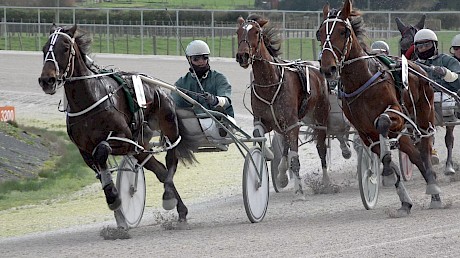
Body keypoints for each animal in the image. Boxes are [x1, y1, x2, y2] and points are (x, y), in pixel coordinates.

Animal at [37, 24, 198, 226]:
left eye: (65, 48)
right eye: (44, 49)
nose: (47, 80)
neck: (90, 99)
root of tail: (161, 89)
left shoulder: (125, 140)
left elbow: (101, 150)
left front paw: (114, 196)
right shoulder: (85, 150)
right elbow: (99, 165)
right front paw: (114, 198)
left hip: (168, 126)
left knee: (171, 160)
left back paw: (169, 197)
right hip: (141, 145)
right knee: (160, 169)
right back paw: (180, 208)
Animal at [235, 14, 332, 196]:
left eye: (256, 32)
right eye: (238, 32)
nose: (242, 56)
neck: (269, 83)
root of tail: (317, 69)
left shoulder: (292, 122)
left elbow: (296, 157)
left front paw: (299, 190)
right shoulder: (263, 120)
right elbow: (258, 134)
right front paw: (269, 155)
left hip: (320, 117)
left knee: (321, 147)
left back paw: (325, 181)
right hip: (284, 124)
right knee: (286, 144)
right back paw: (281, 174)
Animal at [316, 0, 442, 216]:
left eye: (343, 31)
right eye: (319, 33)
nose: (328, 68)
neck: (362, 81)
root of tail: (418, 66)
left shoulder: (396, 114)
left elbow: (382, 121)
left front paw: (387, 169)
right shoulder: (365, 132)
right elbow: (383, 153)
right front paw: (395, 185)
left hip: (424, 116)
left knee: (424, 149)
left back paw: (433, 190)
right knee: (415, 155)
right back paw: (408, 199)